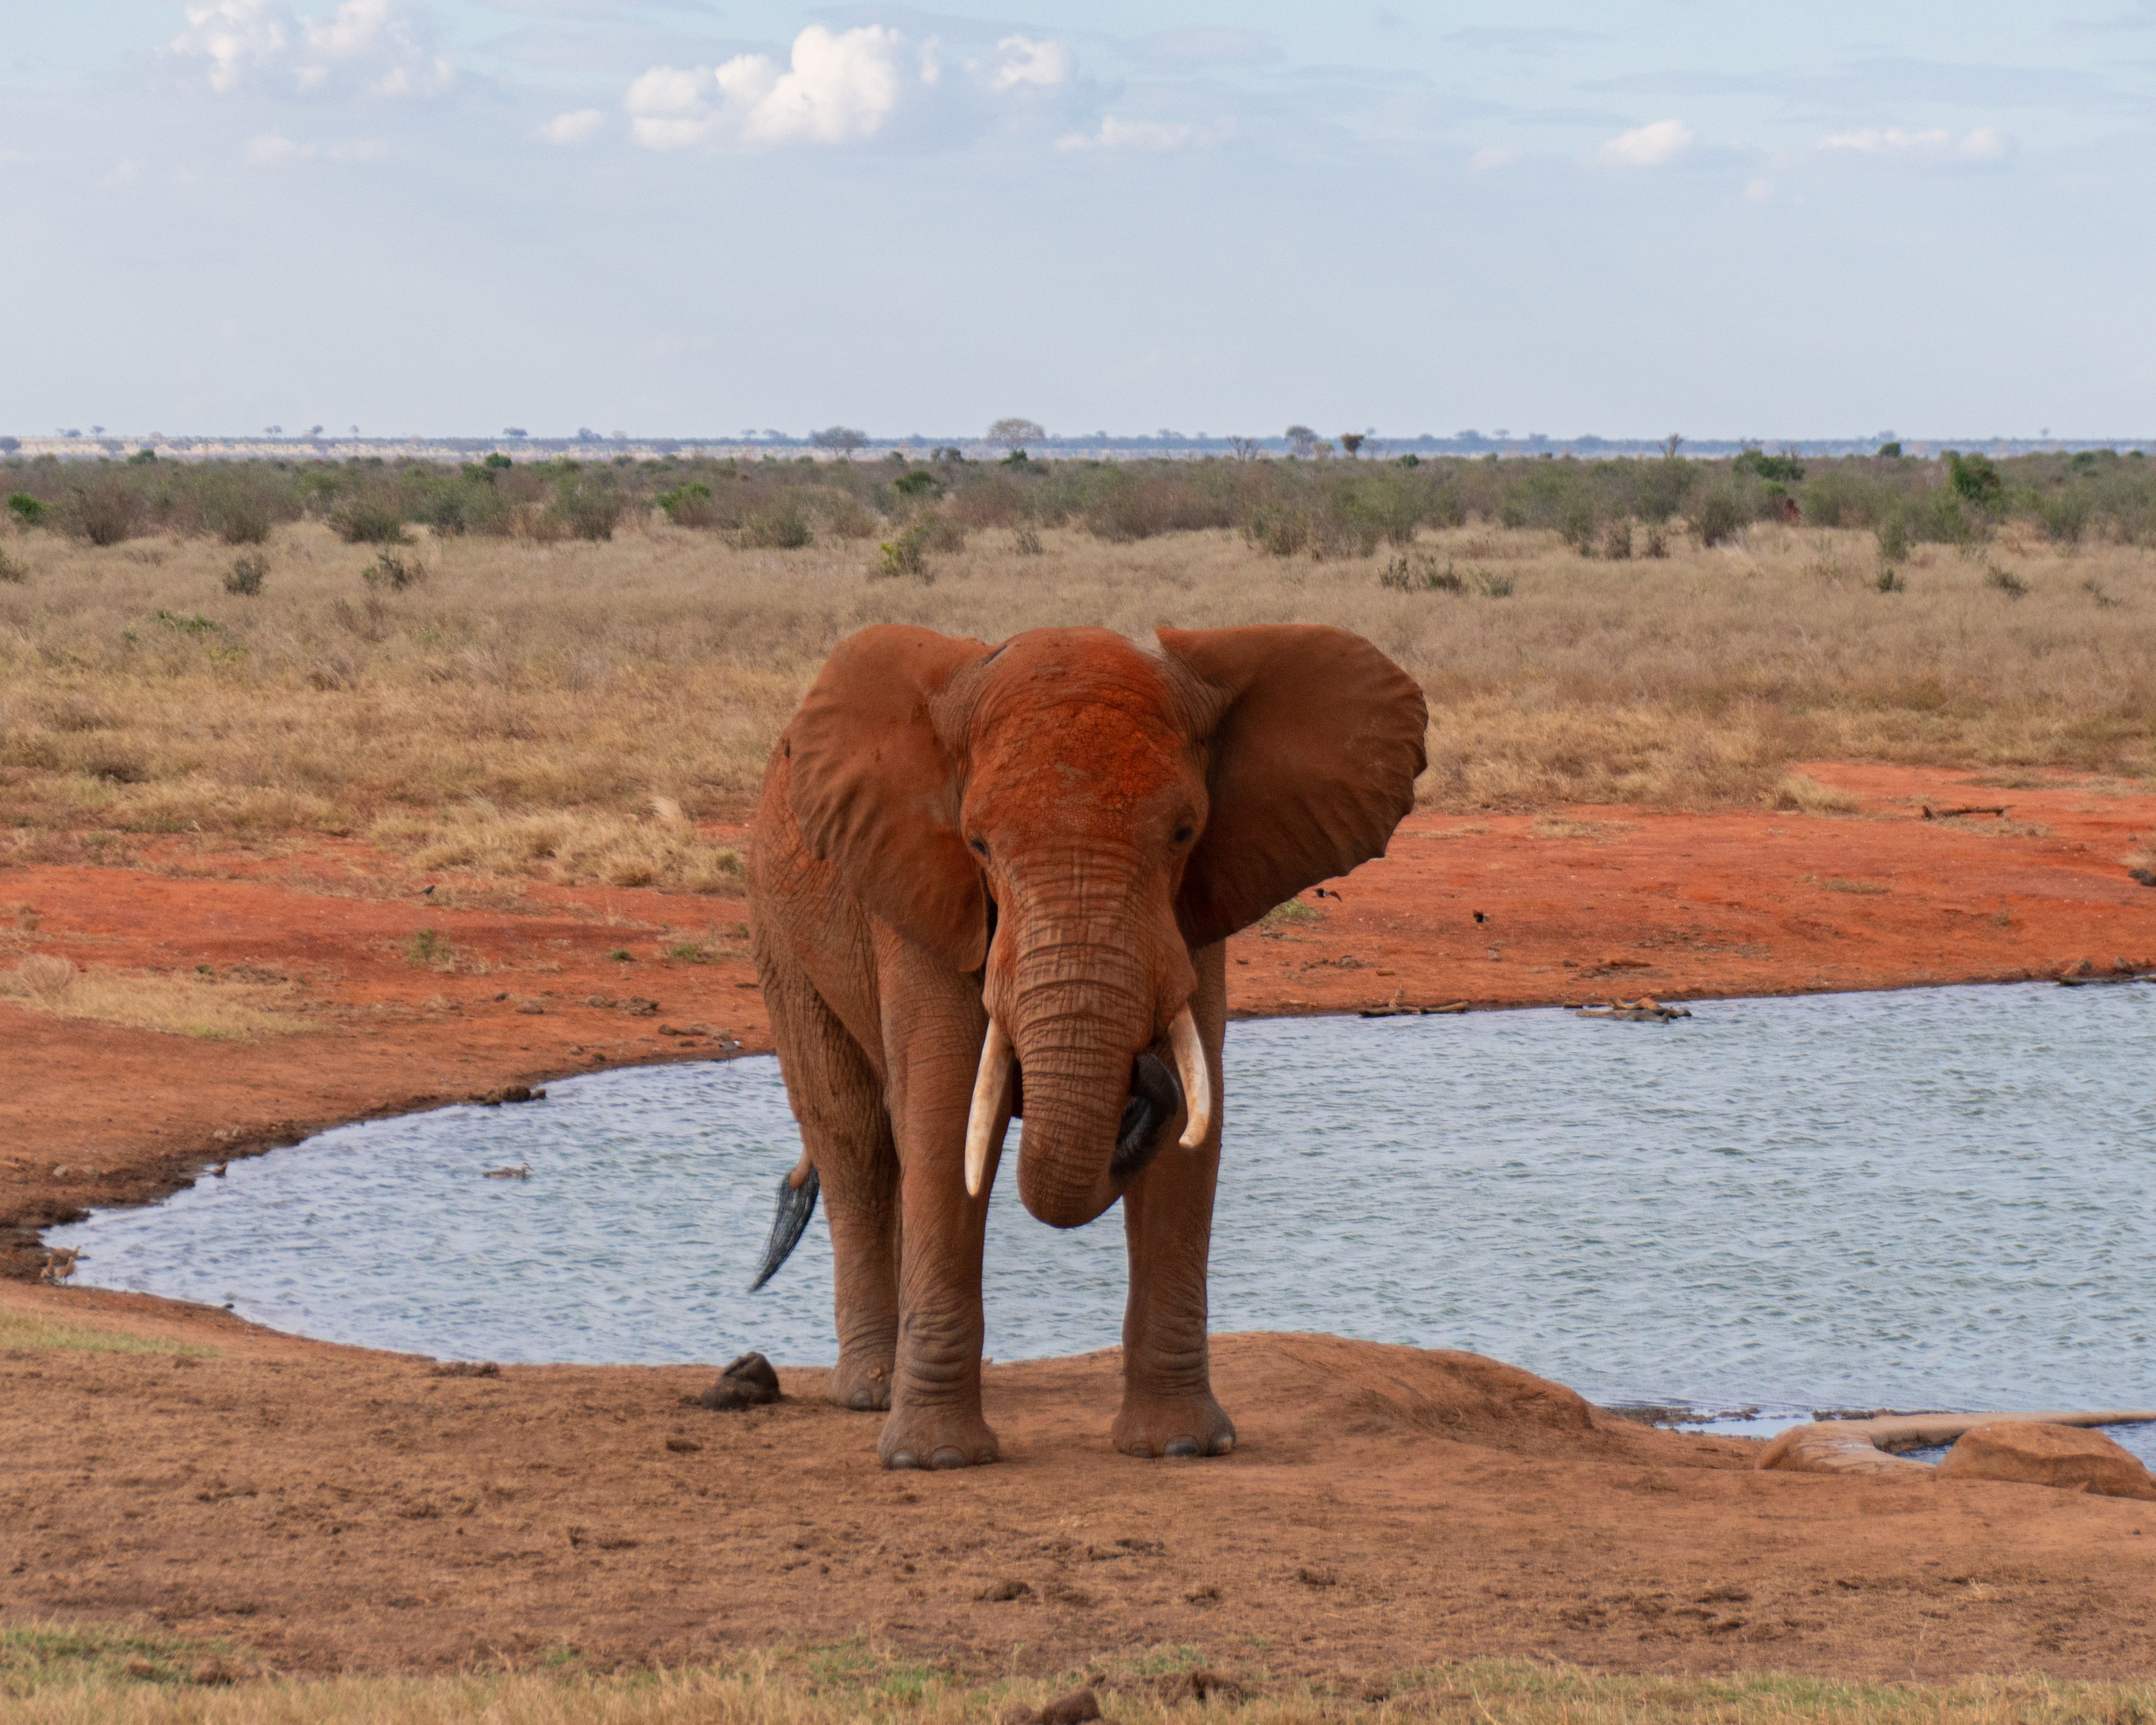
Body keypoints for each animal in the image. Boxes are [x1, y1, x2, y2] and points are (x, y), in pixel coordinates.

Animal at [745, 622, 1427, 1468]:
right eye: (977, 843)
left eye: (1184, 834)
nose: (1139, 1073)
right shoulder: (926, 894)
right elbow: (941, 1113)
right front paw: (935, 1460)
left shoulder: (1193, 912)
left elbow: (1193, 1130)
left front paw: (1179, 1447)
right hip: (778, 925)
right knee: (857, 1141)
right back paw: (870, 1392)